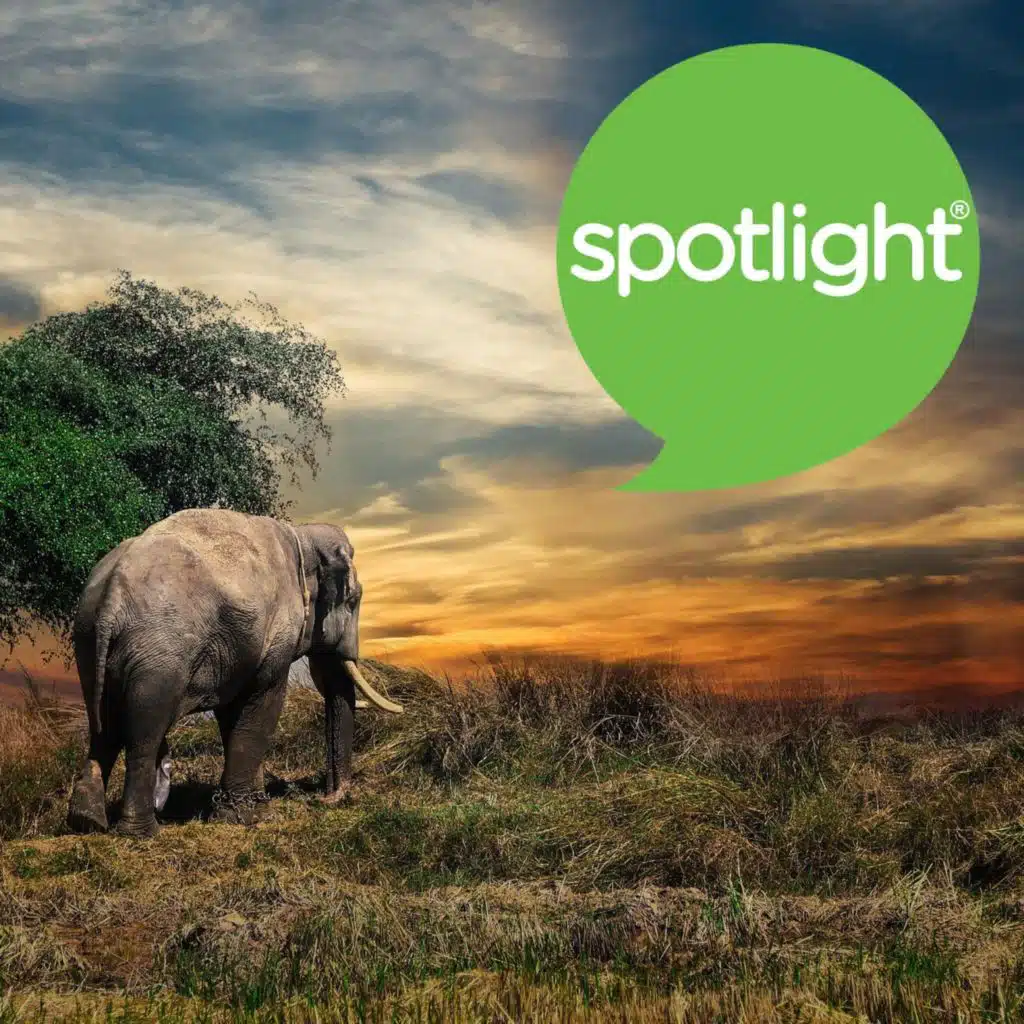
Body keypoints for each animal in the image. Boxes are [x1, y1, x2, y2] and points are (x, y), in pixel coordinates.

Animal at [66, 507, 403, 838]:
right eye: (353, 600)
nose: (326, 798)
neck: (302, 536)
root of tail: (111, 596)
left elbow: (233, 713)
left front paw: (254, 809)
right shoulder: (274, 635)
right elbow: (263, 704)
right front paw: (244, 818)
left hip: (88, 641)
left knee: (103, 726)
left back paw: (87, 822)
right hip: (158, 653)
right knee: (143, 733)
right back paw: (140, 833)